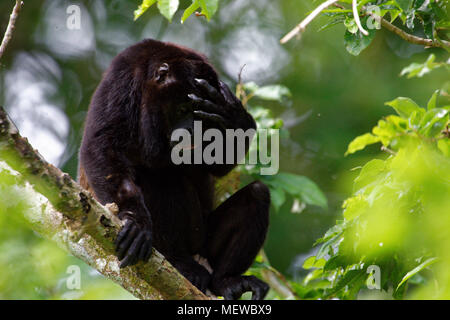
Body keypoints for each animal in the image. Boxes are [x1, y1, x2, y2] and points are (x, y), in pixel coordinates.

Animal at [78, 38, 270, 298]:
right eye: (181, 109)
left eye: (199, 117)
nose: (191, 130)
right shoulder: (121, 78)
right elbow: (101, 147)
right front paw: (134, 220)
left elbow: (217, 164)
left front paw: (235, 118)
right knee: (158, 177)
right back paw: (178, 262)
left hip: (204, 243)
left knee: (257, 194)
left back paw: (226, 280)